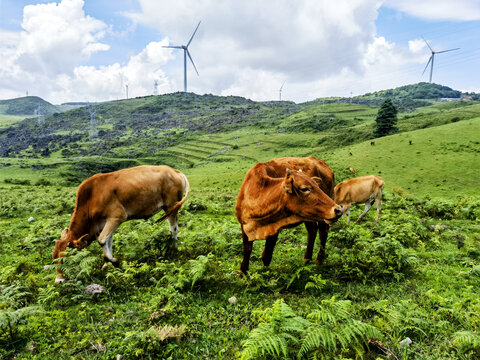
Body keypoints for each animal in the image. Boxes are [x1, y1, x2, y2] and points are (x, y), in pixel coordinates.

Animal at [51, 165, 189, 282]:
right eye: (53, 259)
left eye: (65, 261)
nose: (59, 281)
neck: (92, 196)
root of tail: (174, 170)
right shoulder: (105, 223)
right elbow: (107, 241)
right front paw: (106, 265)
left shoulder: (117, 217)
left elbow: (102, 240)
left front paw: (115, 261)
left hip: (170, 206)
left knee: (174, 228)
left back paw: (173, 249)